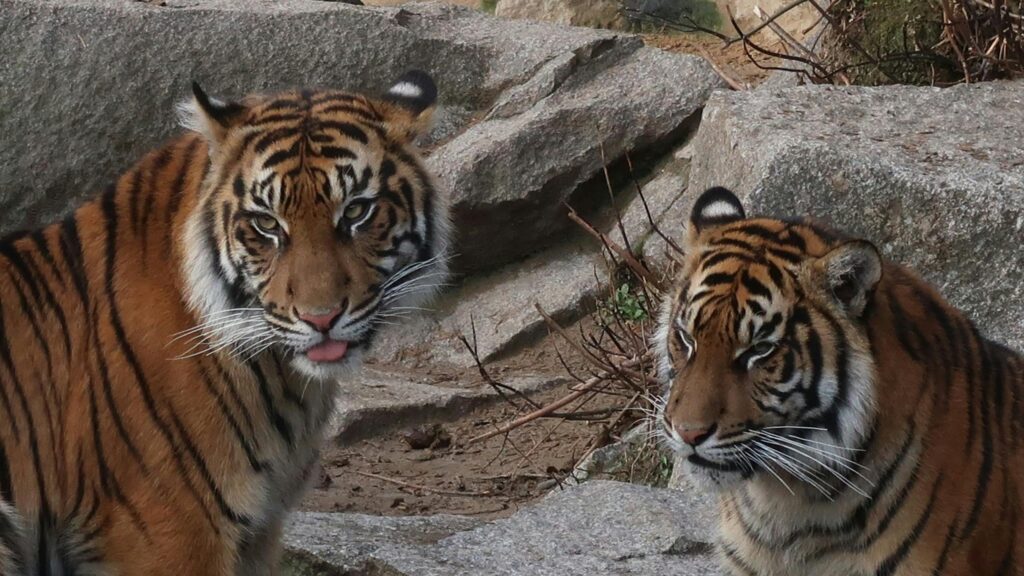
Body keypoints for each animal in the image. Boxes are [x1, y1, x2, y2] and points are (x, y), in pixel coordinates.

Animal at [0, 70, 450, 575]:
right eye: (267, 224)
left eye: (356, 211)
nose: (321, 318)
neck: (284, 380)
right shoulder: (170, 533)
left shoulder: (260, 530)